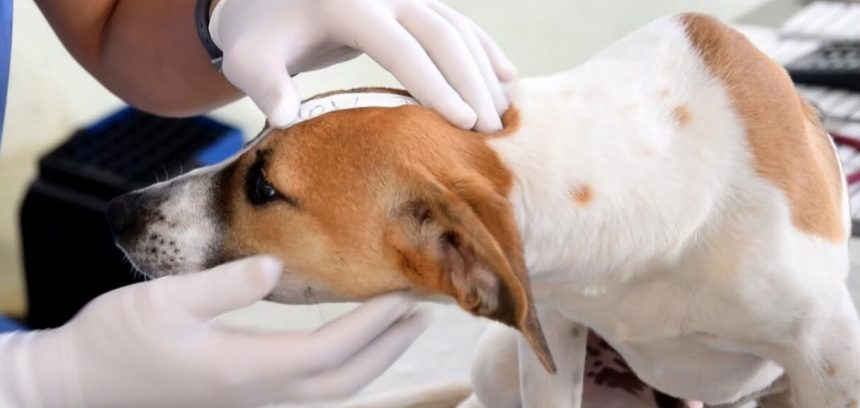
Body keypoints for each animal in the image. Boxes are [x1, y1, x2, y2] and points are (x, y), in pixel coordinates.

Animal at [106, 12, 860, 408]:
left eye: (264, 187)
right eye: (256, 131)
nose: (118, 212)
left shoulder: (827, 358)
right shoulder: (551, 334)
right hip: (497, 363)